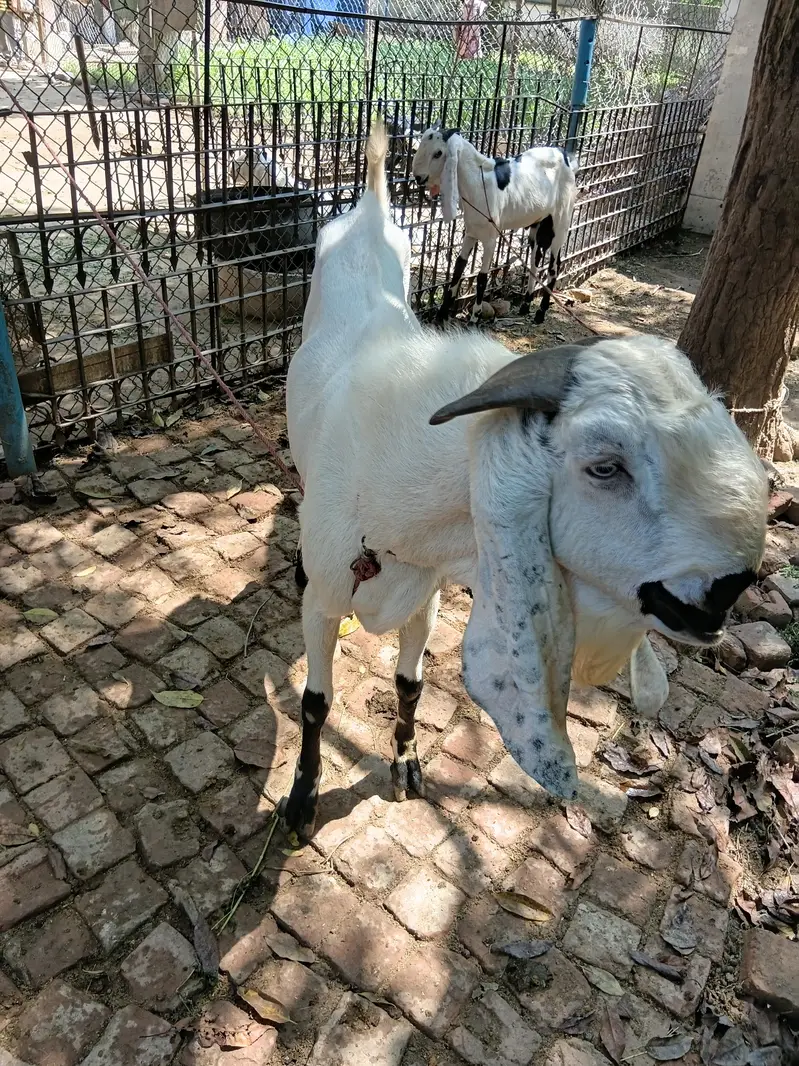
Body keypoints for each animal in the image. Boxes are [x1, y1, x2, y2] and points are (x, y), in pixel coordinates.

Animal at [412, 126, 579, 325]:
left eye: (438, 153)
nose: (418, 177)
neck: (478, 182)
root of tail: (564, 155)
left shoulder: (490, 238)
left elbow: (482, 278)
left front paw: (474, 319)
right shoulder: (471, 233)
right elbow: (458, 269)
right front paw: (441, 315)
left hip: (561, 221)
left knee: (554, 265)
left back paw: (540, 313)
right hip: (538, 223)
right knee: (535, 259)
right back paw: (525, 305)